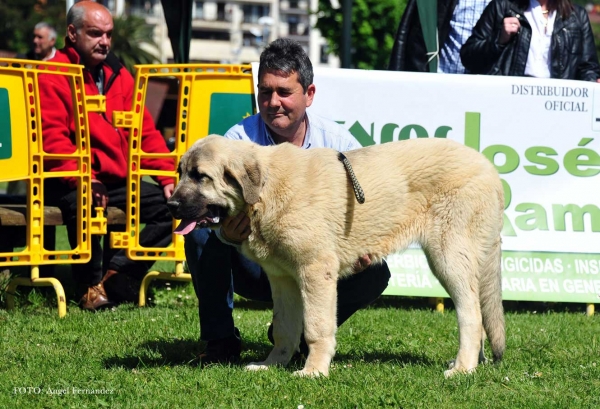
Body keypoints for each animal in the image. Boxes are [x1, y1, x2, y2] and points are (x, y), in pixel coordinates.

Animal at [170, 134, 506, 376]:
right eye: (181, 172)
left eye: (201, 176)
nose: (171, 205)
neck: (267, 190)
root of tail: (489, 168)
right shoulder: (283, 280)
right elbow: (284, 329)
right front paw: (272, 365)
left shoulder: (315, 271)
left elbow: (316, 327)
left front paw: (314, 371)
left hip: (448, 258)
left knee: (471, 315)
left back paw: (462, 368)